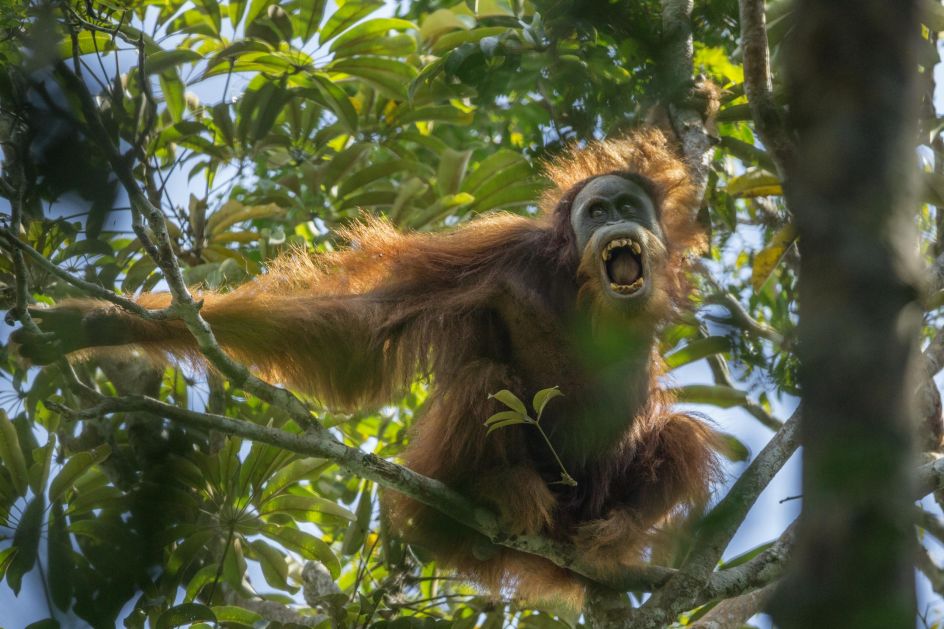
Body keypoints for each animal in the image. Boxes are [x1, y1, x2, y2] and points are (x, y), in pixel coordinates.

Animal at [12, 127, 723, 607]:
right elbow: (360, 327)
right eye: (596, 211)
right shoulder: (497, 253)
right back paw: (493, 494)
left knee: (681, 433)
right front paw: (99, 325)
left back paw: (612, 540)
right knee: (484, 382)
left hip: (583, 504)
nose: (614, 224)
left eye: (628, 209)